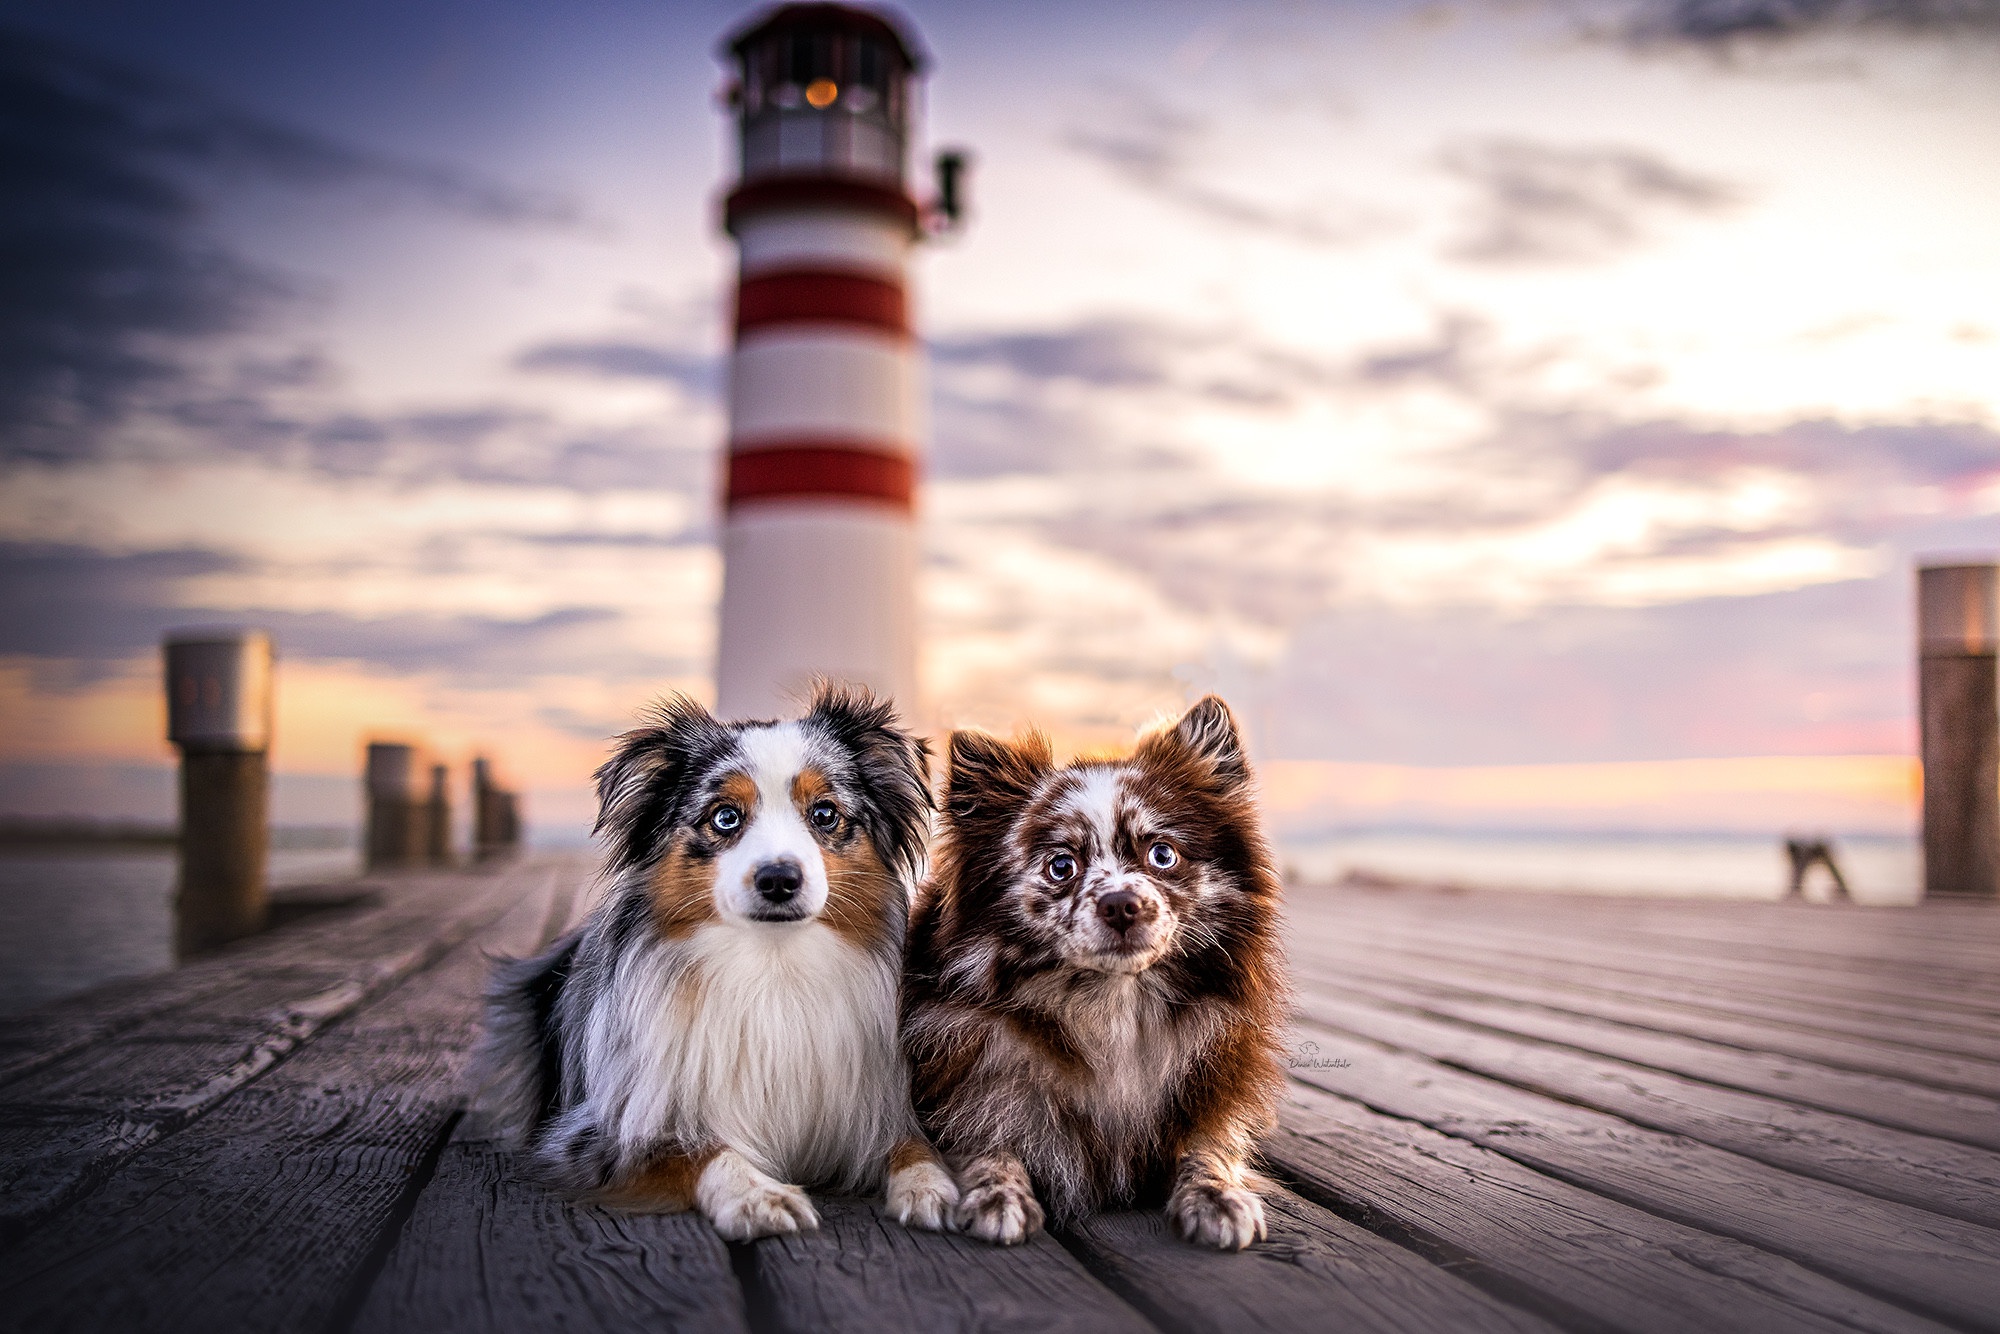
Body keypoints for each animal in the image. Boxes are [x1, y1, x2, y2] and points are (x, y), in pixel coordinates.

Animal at [476, 688, 960, 1240]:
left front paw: (931, 1186)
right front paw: (759, 1194)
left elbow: (912, 1144)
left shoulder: (875, 1106)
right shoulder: (598, 1132)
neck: (773, 969)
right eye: (725, 817)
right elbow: (698, 1149)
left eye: (824, 813)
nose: (778, 879)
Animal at [904, 700, 1288, 1256]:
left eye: (1162, 854)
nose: (1121, 903)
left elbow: (1209, 1147)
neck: (1112, 1006)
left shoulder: (1212, 1089)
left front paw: (1217, 1196)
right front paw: (998, 1193)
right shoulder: (968, 1084)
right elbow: (986, 1141)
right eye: (1061, 866)